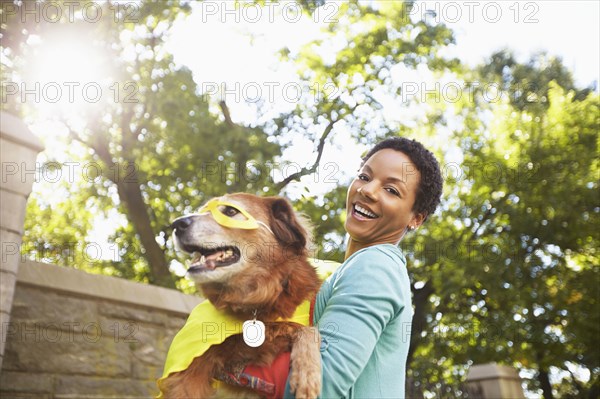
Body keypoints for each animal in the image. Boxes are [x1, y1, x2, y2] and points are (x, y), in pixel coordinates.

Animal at [157, 193, 322, 396]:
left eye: (230, 211)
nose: (176, 224)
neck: (256, 302)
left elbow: (306, 329)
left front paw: (307, 372)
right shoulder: (189, 370)